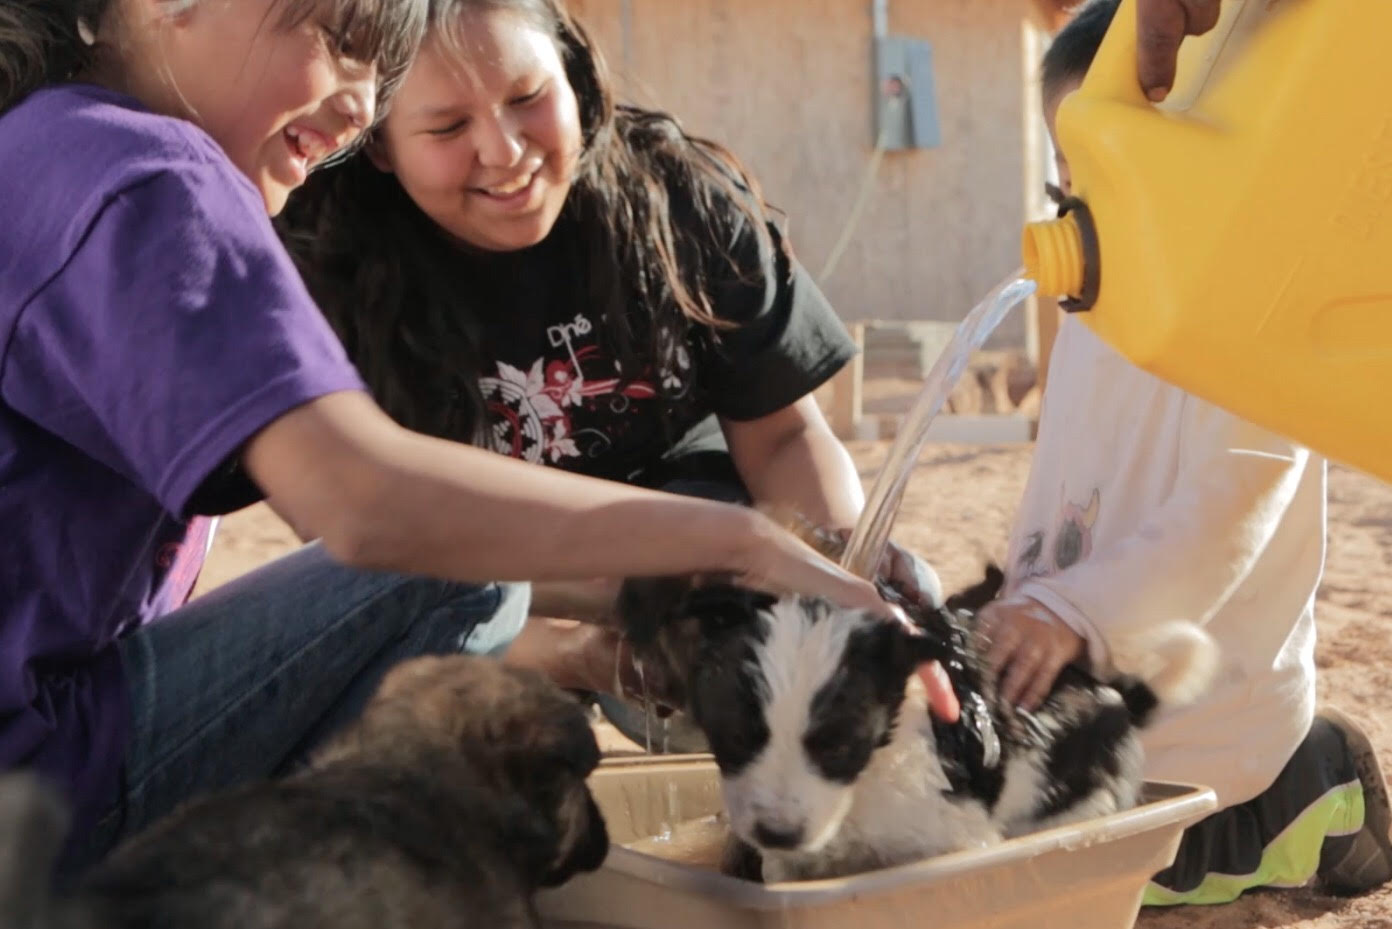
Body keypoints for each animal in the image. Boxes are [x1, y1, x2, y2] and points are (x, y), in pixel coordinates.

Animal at [620, 562, 1219, 885]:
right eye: (736, 737)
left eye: (839, 746)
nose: (778, 833)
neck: (861, 791)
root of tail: (1117, 694)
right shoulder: (787, 866)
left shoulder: (961, 844)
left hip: (1071, 810)